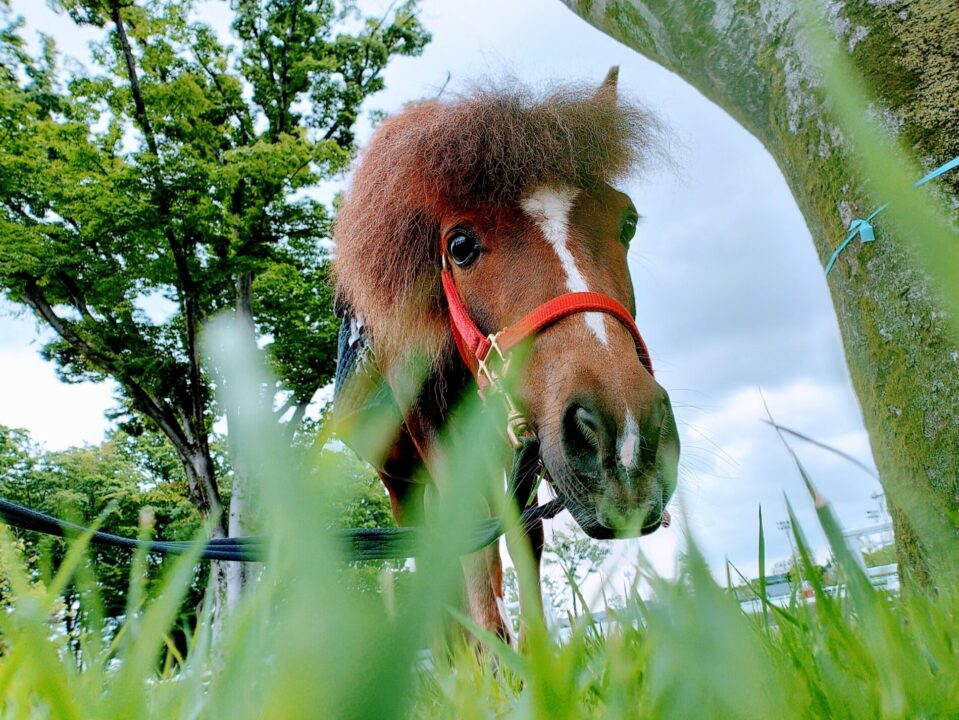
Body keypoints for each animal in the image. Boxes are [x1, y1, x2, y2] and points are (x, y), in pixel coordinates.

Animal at [334, 69, 680, 640]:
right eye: (459, 246)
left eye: (627, 221)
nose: (627, 436)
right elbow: (472, 550)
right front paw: (495, 661)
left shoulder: (524, 442)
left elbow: (522, 538)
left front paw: (536, 653)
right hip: (401, 483)